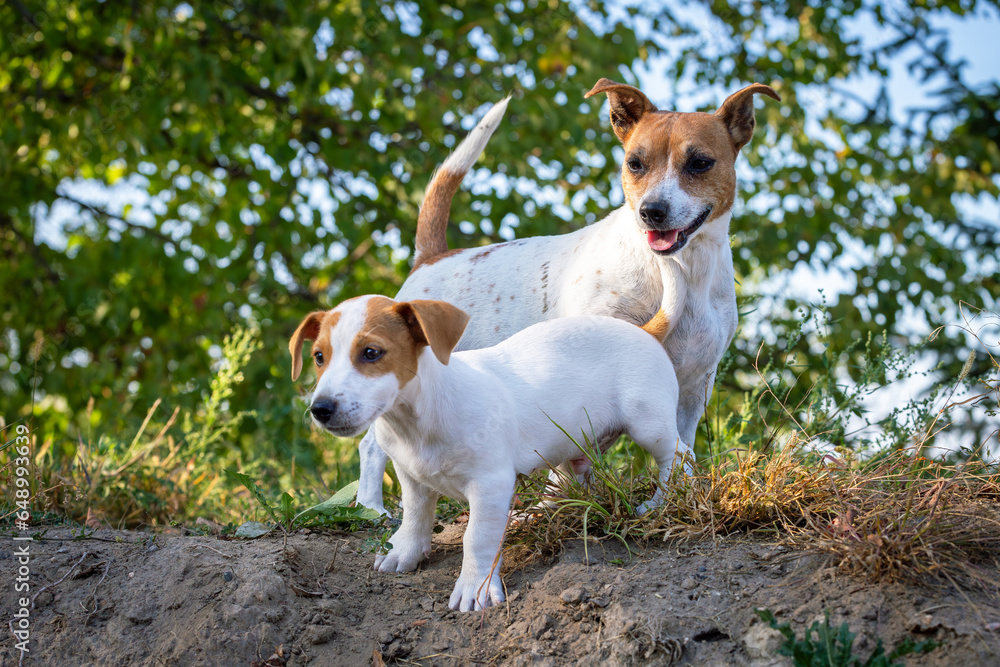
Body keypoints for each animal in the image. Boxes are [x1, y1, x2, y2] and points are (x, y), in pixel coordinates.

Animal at [290, 300, 688, 612]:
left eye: (371, 353)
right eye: (319, 357)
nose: (320, 409)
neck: (416, 419)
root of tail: (643, 330)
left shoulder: (490, 485)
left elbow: (477, 537)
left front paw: (474, 587)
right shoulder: (411, 476)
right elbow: (416, 516)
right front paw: (406, 550)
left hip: (648, 423)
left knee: (679, 456)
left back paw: (661, 503)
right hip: (570, 440)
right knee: (568, 479)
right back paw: (535, 514)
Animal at [352, 81, 780, 516]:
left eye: (700, 163)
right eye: (635, 164)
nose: (652, 211)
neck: (680, 275)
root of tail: (431, 257)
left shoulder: (694, 387)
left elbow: (679, 447)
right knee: (372, 445)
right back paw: (371, 507)